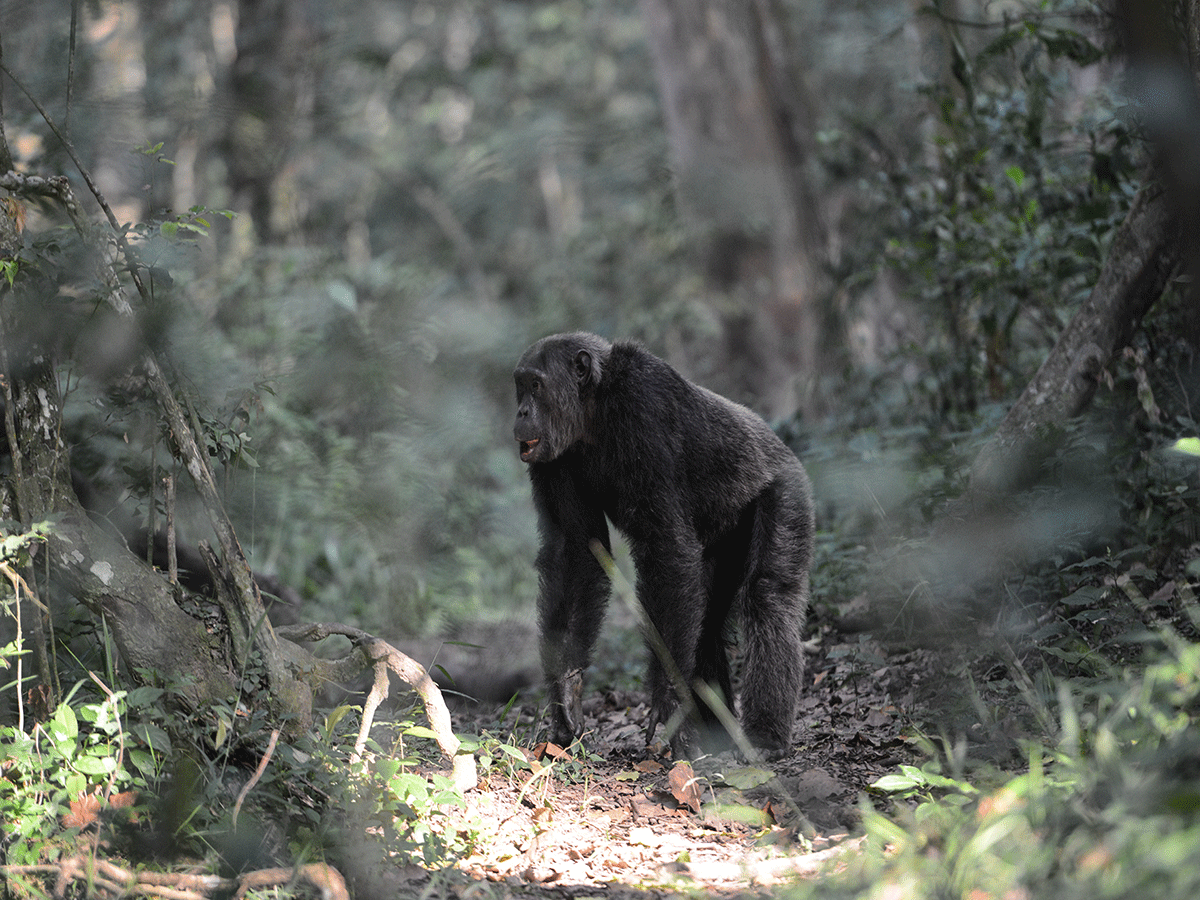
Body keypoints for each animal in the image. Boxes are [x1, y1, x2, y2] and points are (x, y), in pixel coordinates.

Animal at [511, 333, 811, 753]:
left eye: (536, 386)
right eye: (520, 386)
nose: (521, 411)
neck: (593, 413)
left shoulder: (643, 410)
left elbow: (666, 546)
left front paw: (667, 700)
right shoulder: (555, 463)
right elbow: (576, 553)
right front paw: (565, 692)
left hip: (787, 492)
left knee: (768, 595)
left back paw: (765, 734)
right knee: (705, 623)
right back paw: (717, 734)